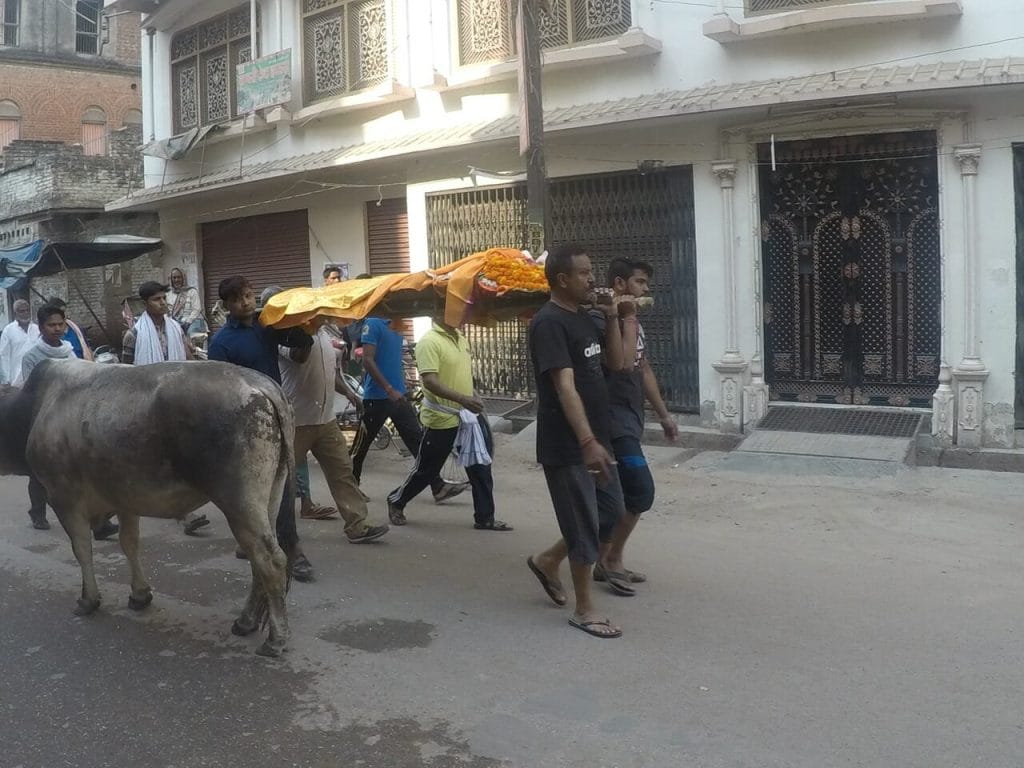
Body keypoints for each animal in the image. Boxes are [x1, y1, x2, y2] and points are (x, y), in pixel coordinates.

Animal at [1, 360, 296, 655]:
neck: (35, 407)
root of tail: (260, 383)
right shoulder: (124, 498)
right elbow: (129, 543)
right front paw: (140, 595)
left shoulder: (64, 498)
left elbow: (82, 549)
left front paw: (88, 599)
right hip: (269, 499)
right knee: (259, 561)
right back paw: (246, 621)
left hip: (239, 503)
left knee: (270, 560)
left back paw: (275, 639)